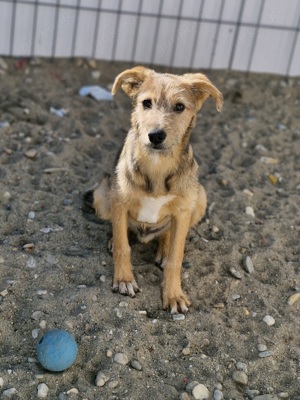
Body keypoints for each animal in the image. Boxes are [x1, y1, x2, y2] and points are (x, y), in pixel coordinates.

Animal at [85, 67, 223, 314]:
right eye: (146, 103)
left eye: (179, 107)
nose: (156, 135)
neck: (158, 165)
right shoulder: (119, 201)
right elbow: (123, 246)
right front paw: (124, 279)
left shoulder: (183, 210)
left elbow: (176, 258)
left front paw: (173, 294)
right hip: (101, 195)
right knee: (120, 230)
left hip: (200, 198)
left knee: (168, 233)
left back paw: (164, 248)